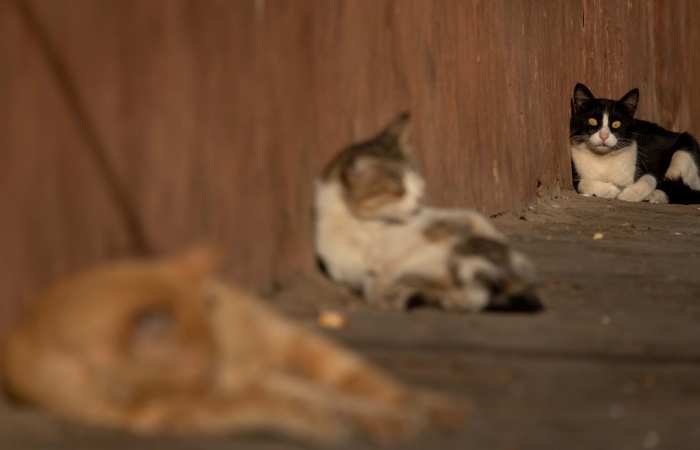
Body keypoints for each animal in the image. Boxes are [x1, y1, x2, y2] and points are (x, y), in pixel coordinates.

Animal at [4, 248, 470, 444]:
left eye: (206, 374)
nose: (215, 381)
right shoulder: (175, 414)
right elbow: (266, 404)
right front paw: (320, 420)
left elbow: (297, 399)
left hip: (307, 350)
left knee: (373, 387)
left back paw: (427, 409)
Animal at [314, 113, 540, 312]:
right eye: (398, 188)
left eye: (418, 178)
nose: (420, 199)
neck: (363, 225)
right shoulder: (346, 265)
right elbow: (368, 276)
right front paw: (384, 292)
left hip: (469, 253)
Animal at [568, 82, 700, 204]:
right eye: (592, 121)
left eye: (616, 124)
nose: (603, 136)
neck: (603, 159)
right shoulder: (576, 175)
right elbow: (583, 183)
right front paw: (613, 190)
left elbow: (651, 178)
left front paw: (627, 194)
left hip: (684, 149)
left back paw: (655, 196)